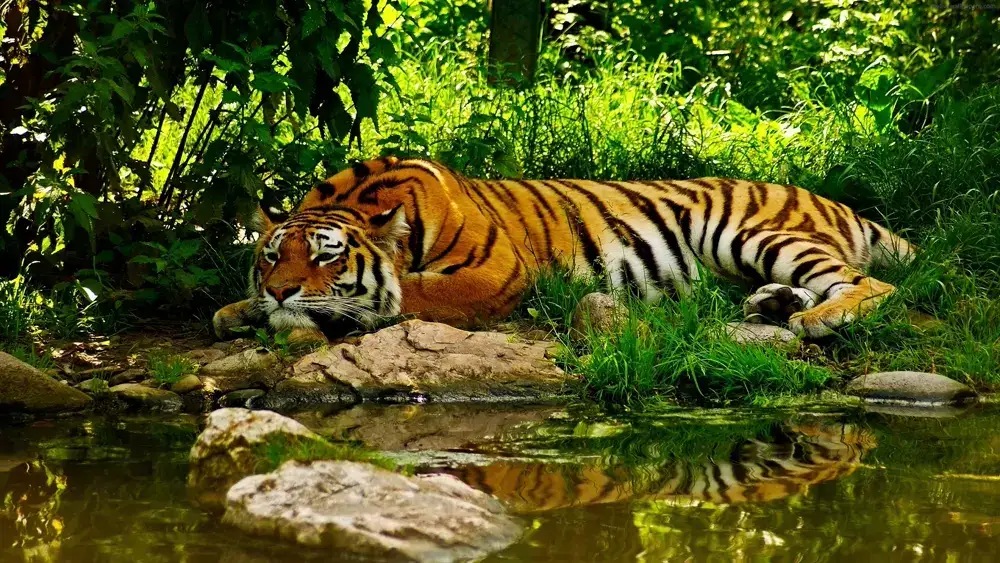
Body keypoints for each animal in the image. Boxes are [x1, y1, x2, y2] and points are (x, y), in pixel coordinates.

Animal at [212, 156, 913, 343]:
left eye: (327, 256)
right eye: (271, 256)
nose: (279, 290)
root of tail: (833, 201)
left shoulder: (494, 273)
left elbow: (409, 293)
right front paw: (237, 311)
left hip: (746, 231)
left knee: (871, 286)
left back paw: (817, 319)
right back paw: (773, 307)